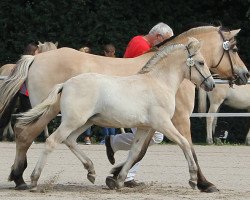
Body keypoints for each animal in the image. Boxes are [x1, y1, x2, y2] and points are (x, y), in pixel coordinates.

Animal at [0, 25, 248, 192]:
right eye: (234, 49)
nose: (244, 75)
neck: (159, 80)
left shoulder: (147, 126)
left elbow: (137, 151)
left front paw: (117, 177)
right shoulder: (173, 121)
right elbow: (187, 146)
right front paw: (201, 182)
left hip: (83, 120)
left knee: (65, 139)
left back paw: (89, 171)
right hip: (61, 116)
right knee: (35, 137)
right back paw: (27, 179)